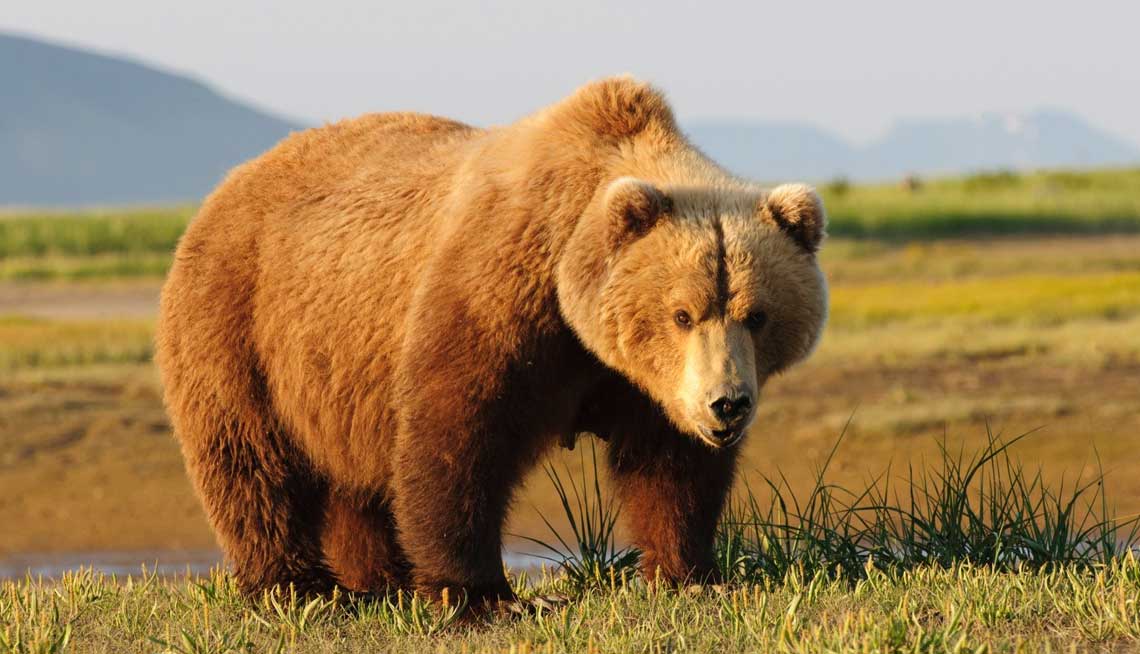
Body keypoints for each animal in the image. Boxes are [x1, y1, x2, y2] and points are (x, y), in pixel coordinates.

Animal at [153, 76, 829, 615]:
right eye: (681, 313)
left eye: (757, 314)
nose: (727, 405)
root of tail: (225, 186)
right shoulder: (502, 295)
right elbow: (459, 435)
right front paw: (481, 596)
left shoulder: (643, 380)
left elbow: (670, 464)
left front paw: (692, 573)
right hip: (240, 322)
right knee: (251, 462)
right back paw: (296, 586)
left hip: (338, 374)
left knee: (353, 477)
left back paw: (379, 579)